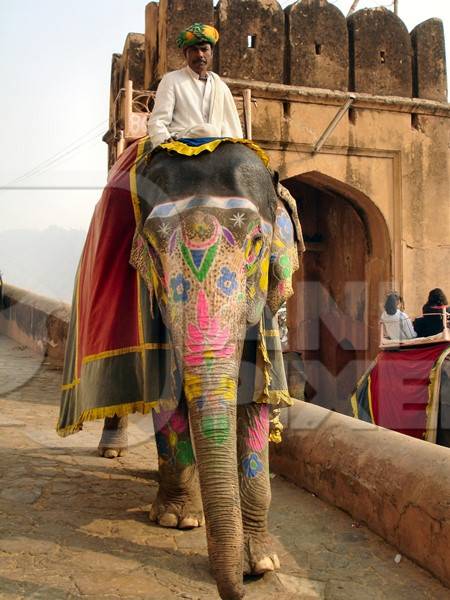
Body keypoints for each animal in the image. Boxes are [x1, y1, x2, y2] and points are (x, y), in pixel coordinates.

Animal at [57, 137, 302, 600]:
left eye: (255, 243)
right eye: (153, 249)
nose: (238, 588)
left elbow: (257, 396)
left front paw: (261, 562)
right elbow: (165, 392)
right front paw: (178, 519)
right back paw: (114, 450)